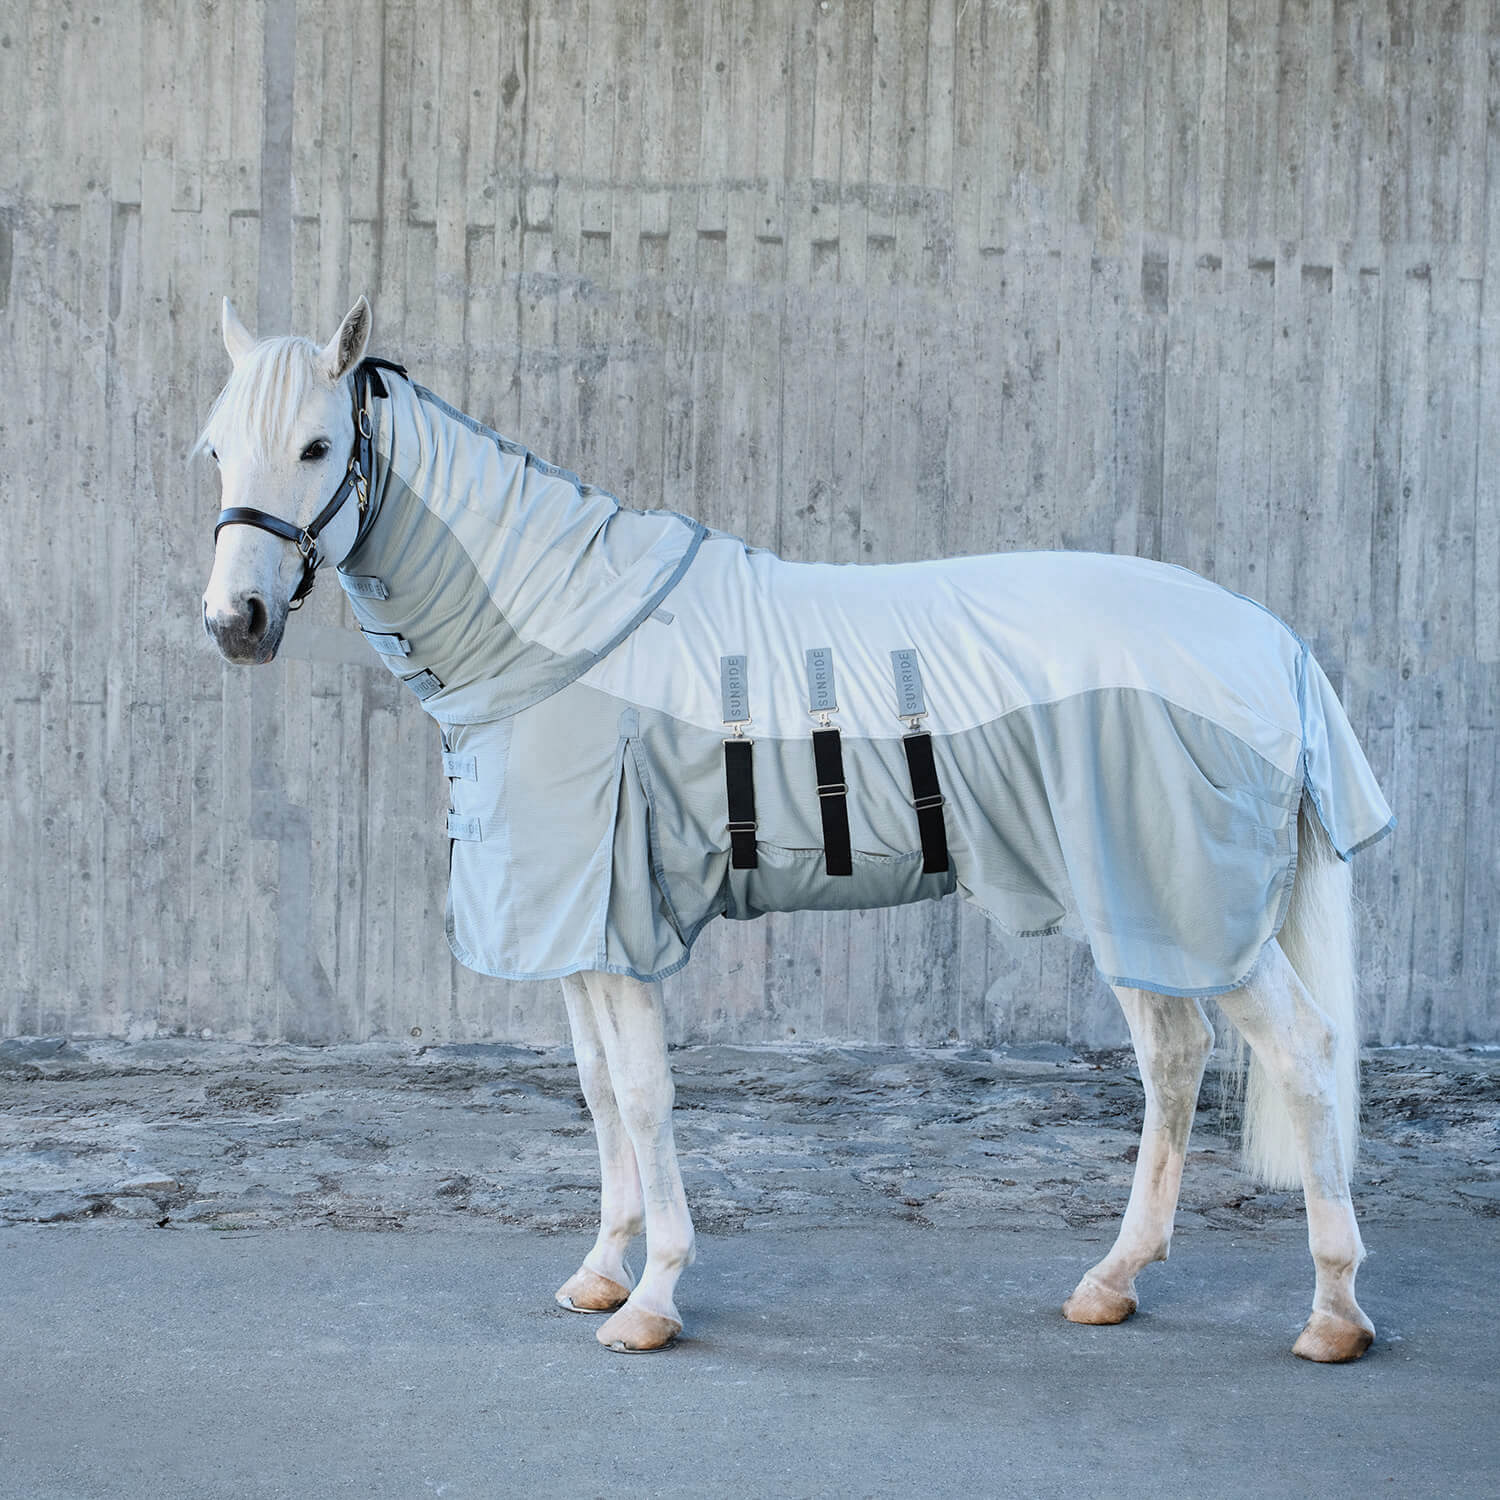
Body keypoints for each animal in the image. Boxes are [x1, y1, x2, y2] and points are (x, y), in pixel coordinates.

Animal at [200, 296, 1393, 1361]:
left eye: (317, 446)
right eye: (215, 451)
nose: (234, 623)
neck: (565, 636)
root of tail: (1269, 640)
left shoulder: (620, 928)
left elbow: (644, 1095)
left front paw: (654, 1299)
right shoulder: (579, 927)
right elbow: (597, 1090)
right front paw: (600, 1270)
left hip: (1188, 907)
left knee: (1303, 1052)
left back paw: (1334, 1313)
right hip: (1138, 907)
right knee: (1175, 1058)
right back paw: (1113, 1281)